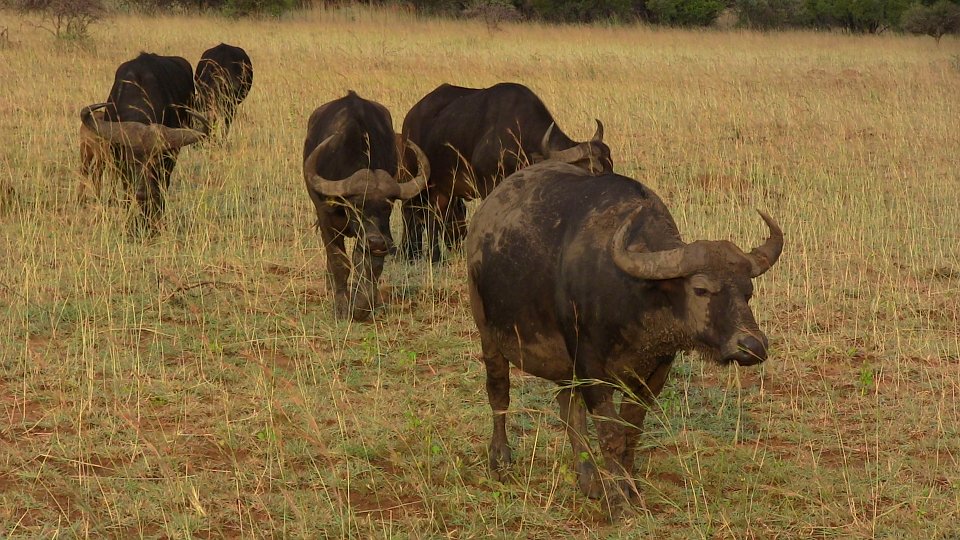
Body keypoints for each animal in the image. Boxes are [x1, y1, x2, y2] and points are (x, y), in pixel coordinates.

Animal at [303, 91, 429, 321]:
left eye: (388, 206)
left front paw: (362, 305)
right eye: (356, 205)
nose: (377, 242)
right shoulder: (327, 220)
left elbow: (369, 264)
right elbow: (339, 262)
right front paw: (342, 307)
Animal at [400, 82, 613, 262]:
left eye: (611, 165)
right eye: (594, 170)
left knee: (434, 215)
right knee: (411, 211)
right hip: (416, 177)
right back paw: (412, 253)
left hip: (444, 190)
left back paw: (434, 256)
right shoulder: (487, 185)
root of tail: (410, 117)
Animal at [466, 161, 783, 515]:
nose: (751, 346)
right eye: (700, 289)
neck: (634, 294)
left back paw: (588, 478)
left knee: (569, 409)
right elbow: (611, 433)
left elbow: (631, 430)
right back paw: (501, 461)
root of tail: (484, 217)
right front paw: (619, 500)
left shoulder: (654, 373)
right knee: (499, 393)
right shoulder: (591, 368)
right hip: (488, 333)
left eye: (748, 291)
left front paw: (631, 488)